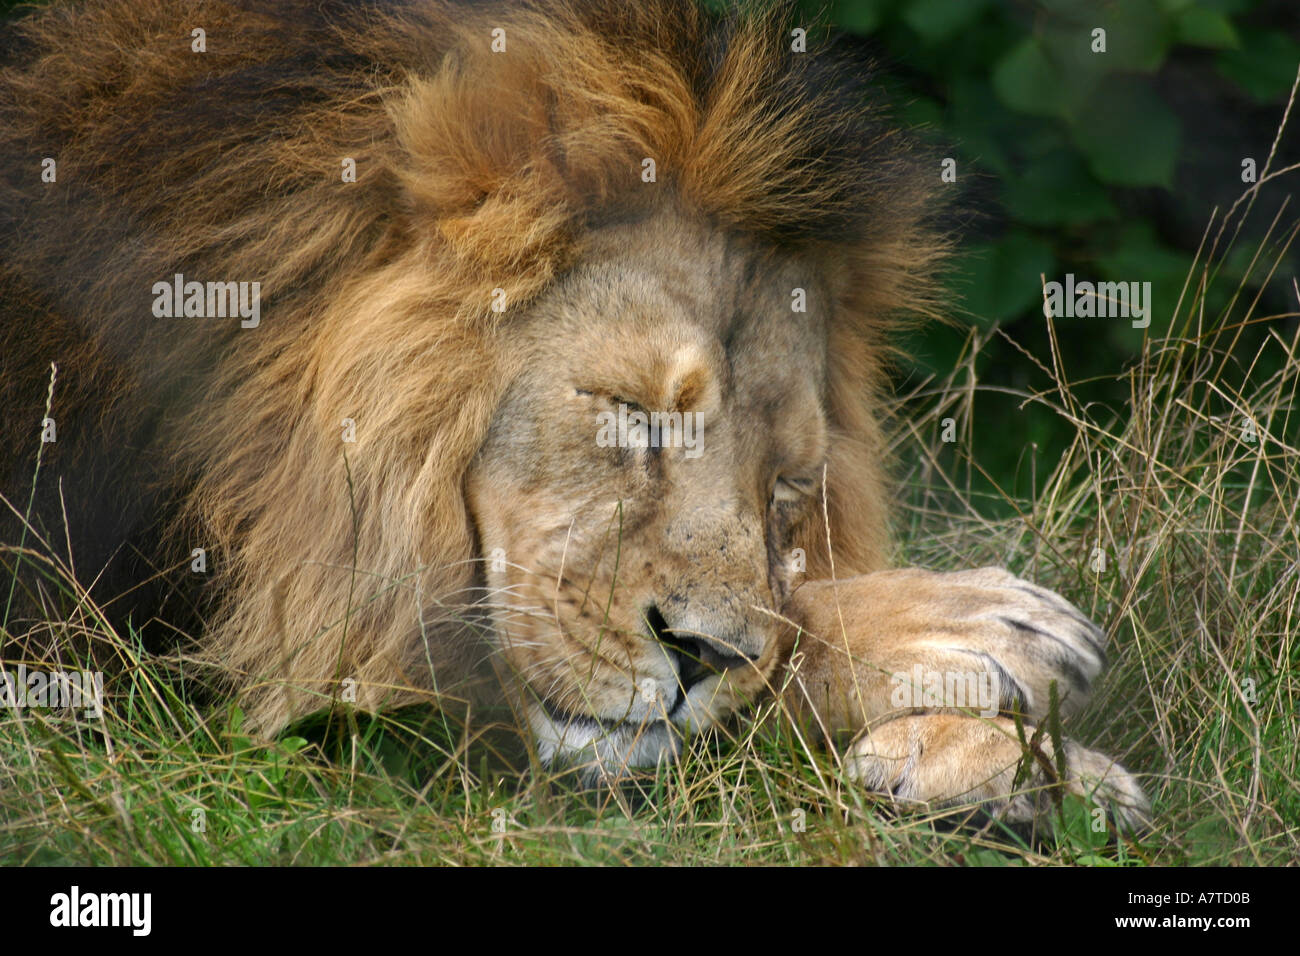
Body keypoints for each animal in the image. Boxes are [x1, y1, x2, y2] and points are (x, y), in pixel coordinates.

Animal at [5, 0, 1154, 832]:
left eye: (786, 484)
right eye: (630, 414)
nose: (702, 658)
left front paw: (1017, 764)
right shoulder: (128, 661)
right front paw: (971, 632)